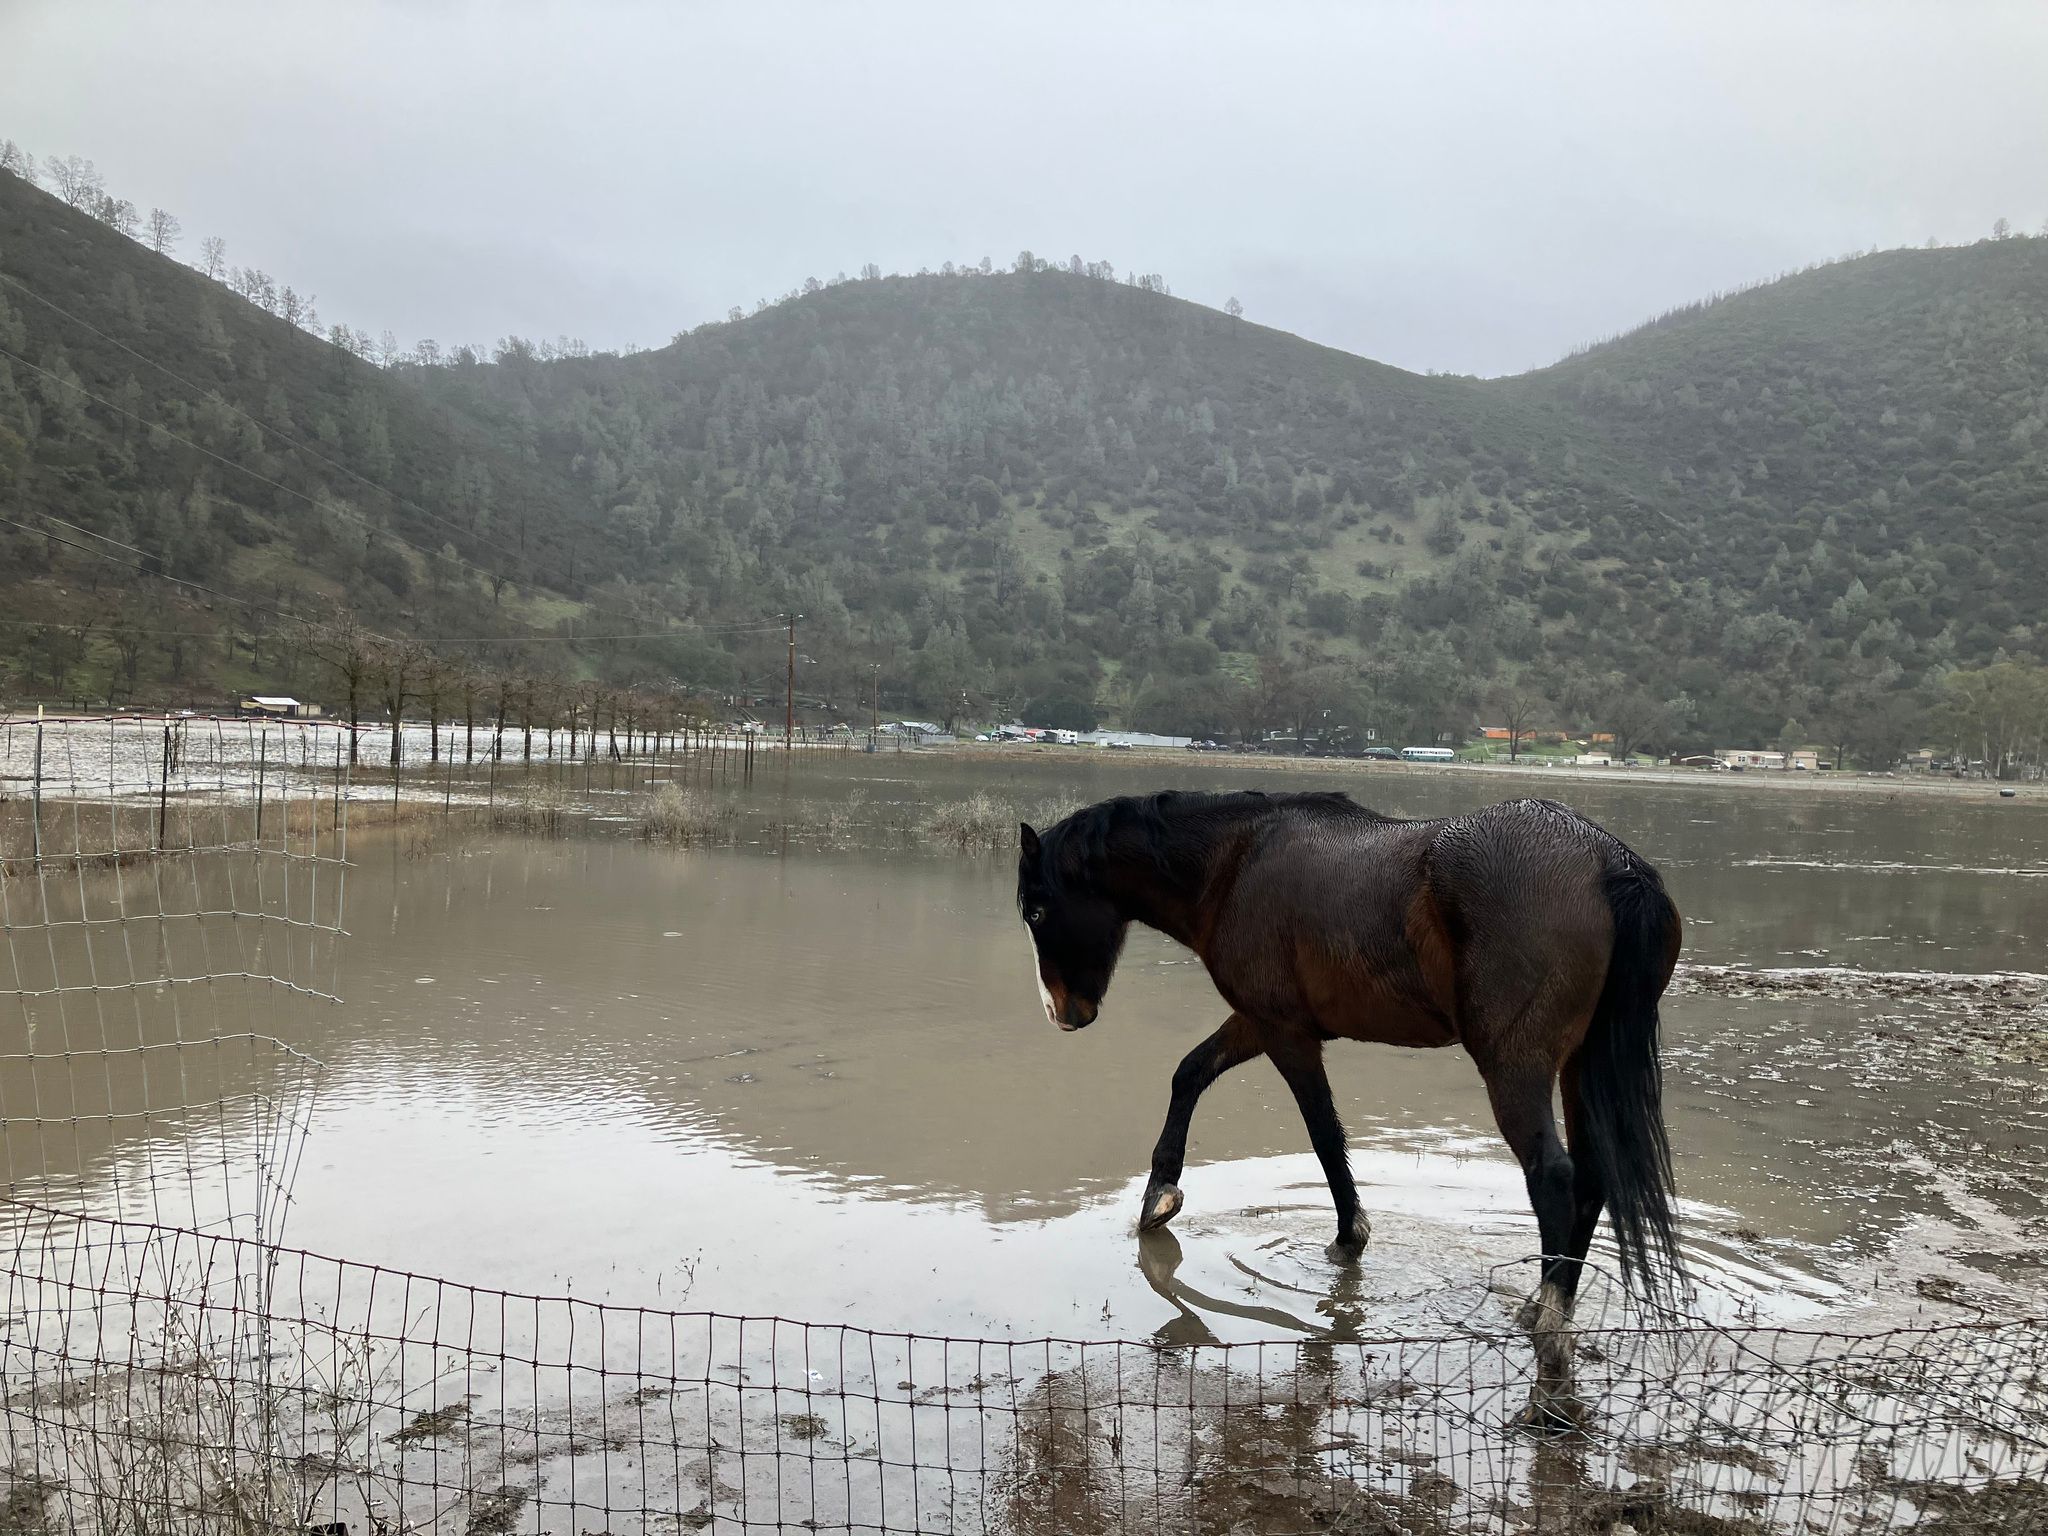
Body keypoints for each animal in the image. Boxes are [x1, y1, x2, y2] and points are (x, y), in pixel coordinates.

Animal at [1017, 790, 1684, 1410]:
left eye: (1038, 909)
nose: (1060, 1013)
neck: (1236, 863)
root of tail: (1610, 862)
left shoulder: (1285, 1032)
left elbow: (1323, 1135)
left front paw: (1347, 1238)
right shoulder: (1259, 1021)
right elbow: (1189, 1074)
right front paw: (1160, 1194)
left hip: (1514, 1064)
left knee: (1554, 1176)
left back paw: (1550, 1362)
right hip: (1580, 1063)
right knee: (1594, 1176)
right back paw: (1544, 1309)